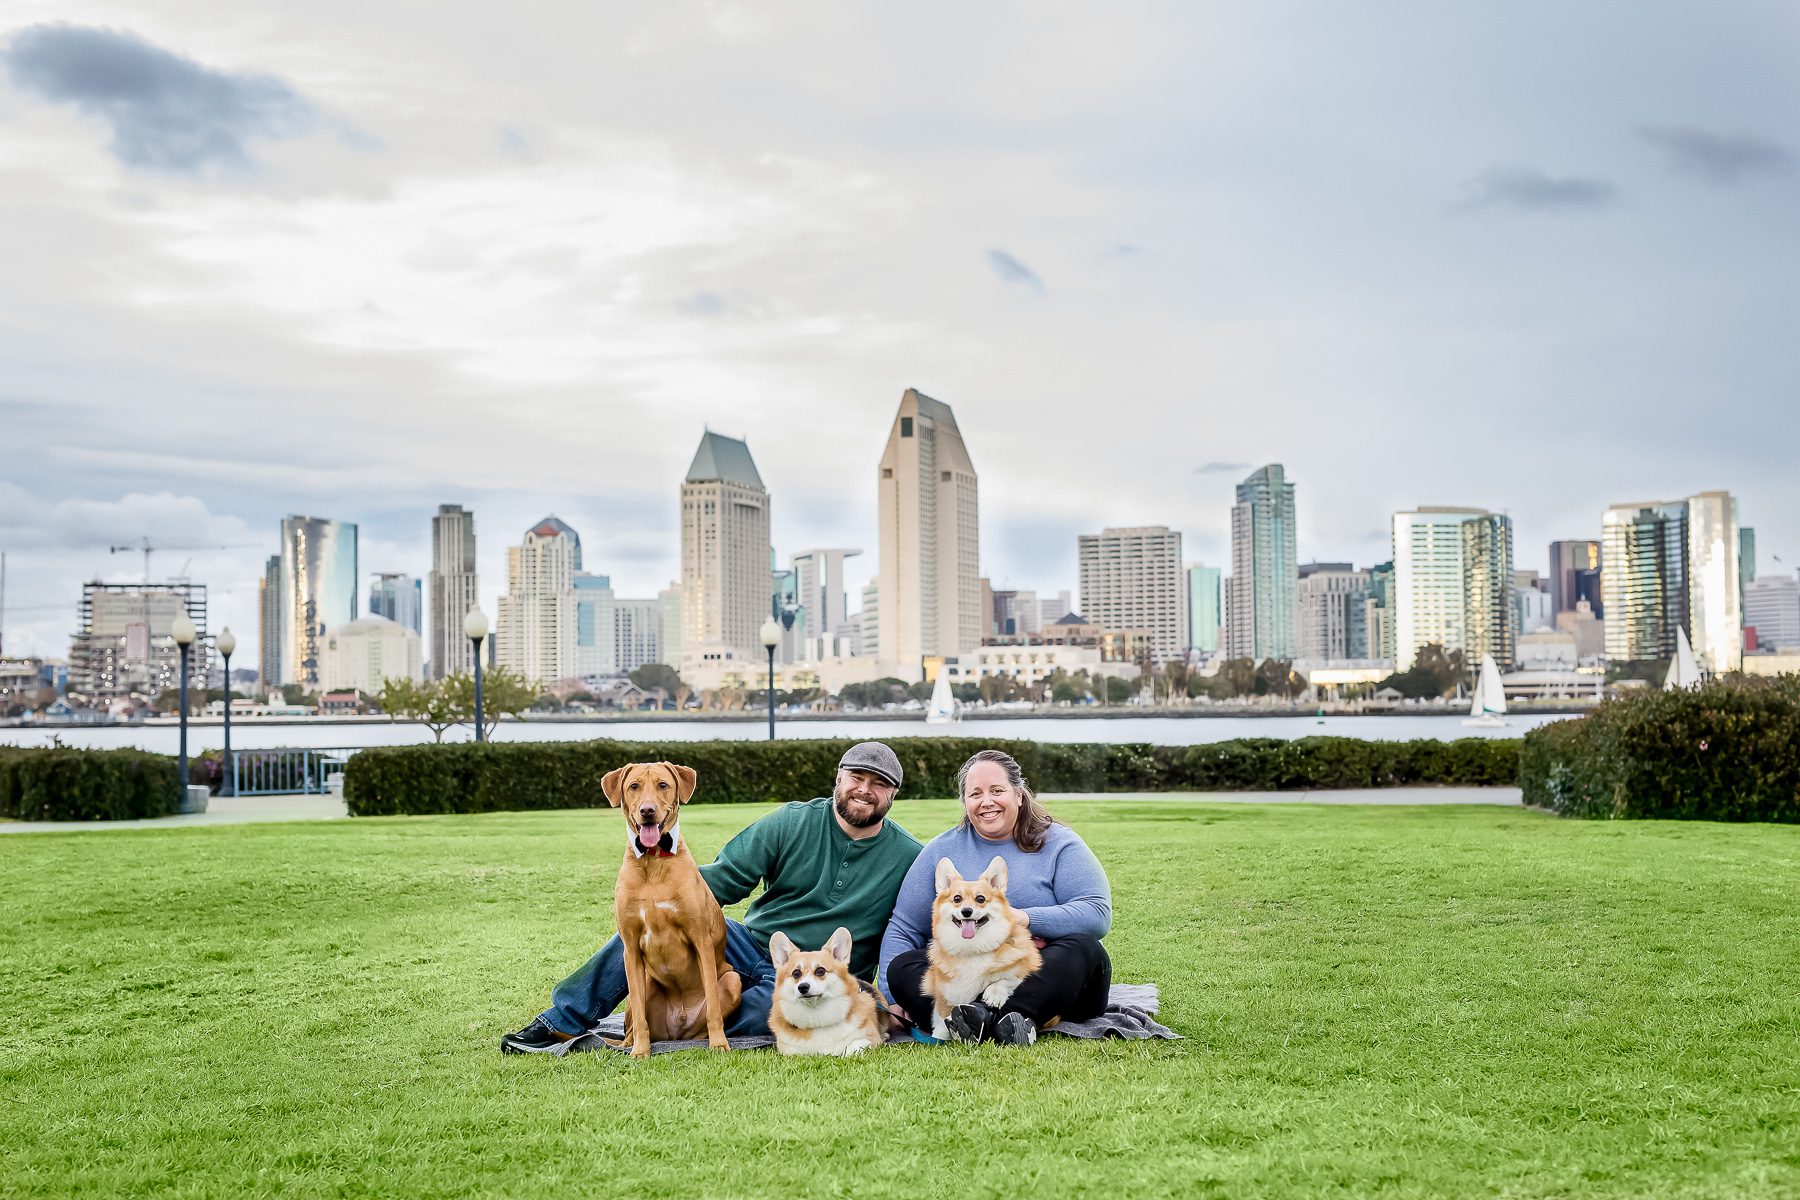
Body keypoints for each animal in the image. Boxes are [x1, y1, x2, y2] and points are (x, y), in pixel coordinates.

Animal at [604, 766, 738, 1057]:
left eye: (663, 785)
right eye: (634, 786)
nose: (647, 810)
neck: (653, 859)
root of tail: (677, 1032)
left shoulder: (701, 939)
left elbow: (713, 1005)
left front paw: (719, 1044)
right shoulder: (630, 948)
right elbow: (640, 1015)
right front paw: (641, 1051)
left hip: (733, 980)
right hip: (644, 985)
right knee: (632, 1024)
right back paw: (629, 1045)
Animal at [763, 928, 882, 1057]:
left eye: (820, 971)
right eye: (796, 973)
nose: (803, 987)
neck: (817, 1018)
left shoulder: (872, 1038)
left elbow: (855, 1044)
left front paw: (847, 1054)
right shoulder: (788, 1050)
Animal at [928, 852, 1044, 1043]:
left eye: (980, 899)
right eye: (957, 898)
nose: (966, 911)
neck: (973, 949)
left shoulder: (1028, 962)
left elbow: (1009, 977)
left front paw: (994, 994)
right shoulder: (943, 991)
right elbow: (942, 1016)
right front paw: (938, 1037)